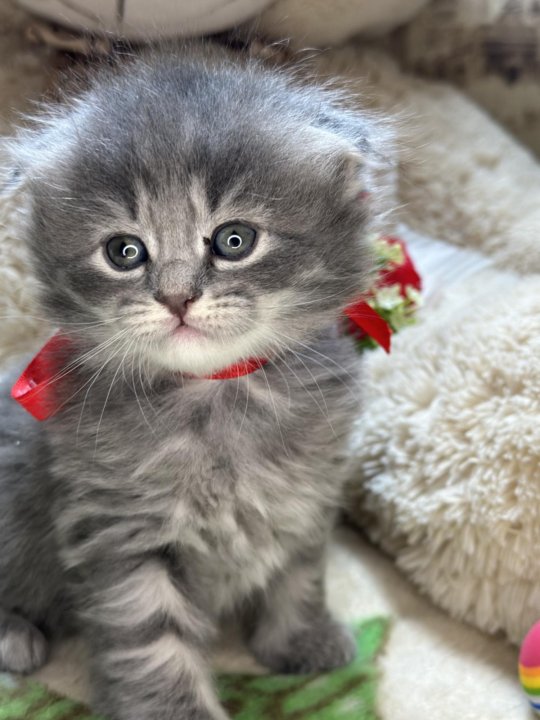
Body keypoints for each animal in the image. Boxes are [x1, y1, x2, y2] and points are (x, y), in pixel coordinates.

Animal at [0, 44, 385, 720]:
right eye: (124, 251)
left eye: (235, 240)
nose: (177, 297)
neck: (218, 393)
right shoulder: (122, 530)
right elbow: (156, 645)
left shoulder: (307, 494)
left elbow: (300, 575)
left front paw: (300, 640)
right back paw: (15, 636)